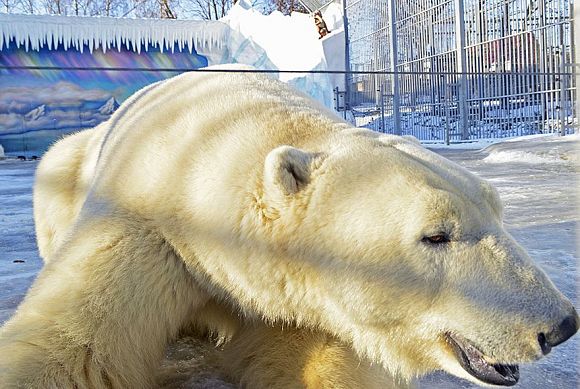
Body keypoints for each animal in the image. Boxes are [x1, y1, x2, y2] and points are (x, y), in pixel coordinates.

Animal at [2, 65, 576, 386]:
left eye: (498, 211)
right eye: (435, 235)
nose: (560, 326)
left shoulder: (304, 298)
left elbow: (317, 359)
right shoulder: (148, 227)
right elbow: (71, 349)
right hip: (63, 170)